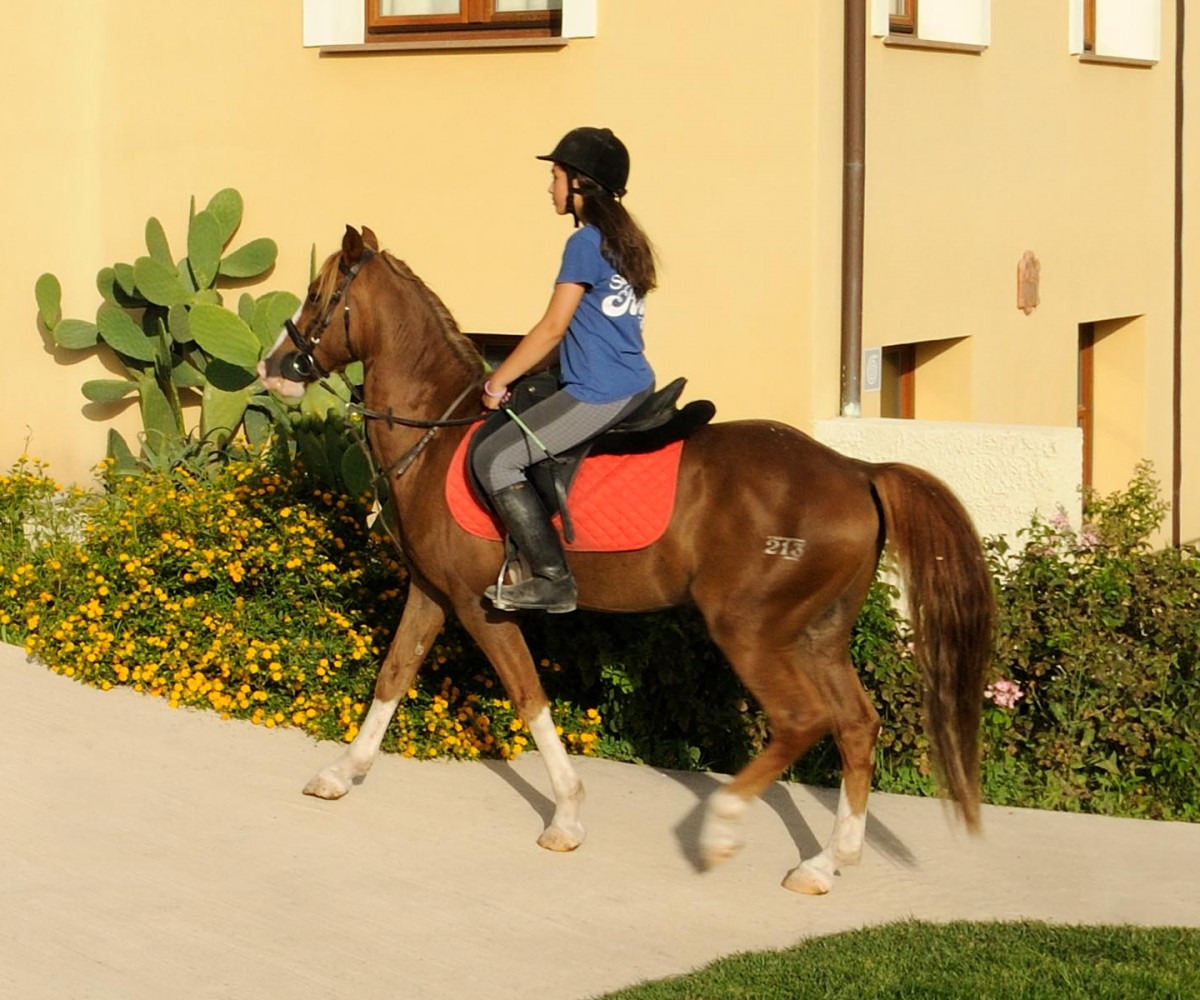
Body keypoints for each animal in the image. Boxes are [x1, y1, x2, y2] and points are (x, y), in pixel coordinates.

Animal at [260, 225, 993, 897]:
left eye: (319, 295)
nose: (272, 367)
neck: (437, 434)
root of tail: (857, 470)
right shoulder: (433, 594)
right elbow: (392, 676)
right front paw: (341, 774)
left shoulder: (479, 607)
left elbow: (528, 697)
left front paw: (567, 817)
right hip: (817, 634)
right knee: (855, 726)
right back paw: (824, 862)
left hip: (752, 631)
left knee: (802, 722)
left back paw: (722, 827)